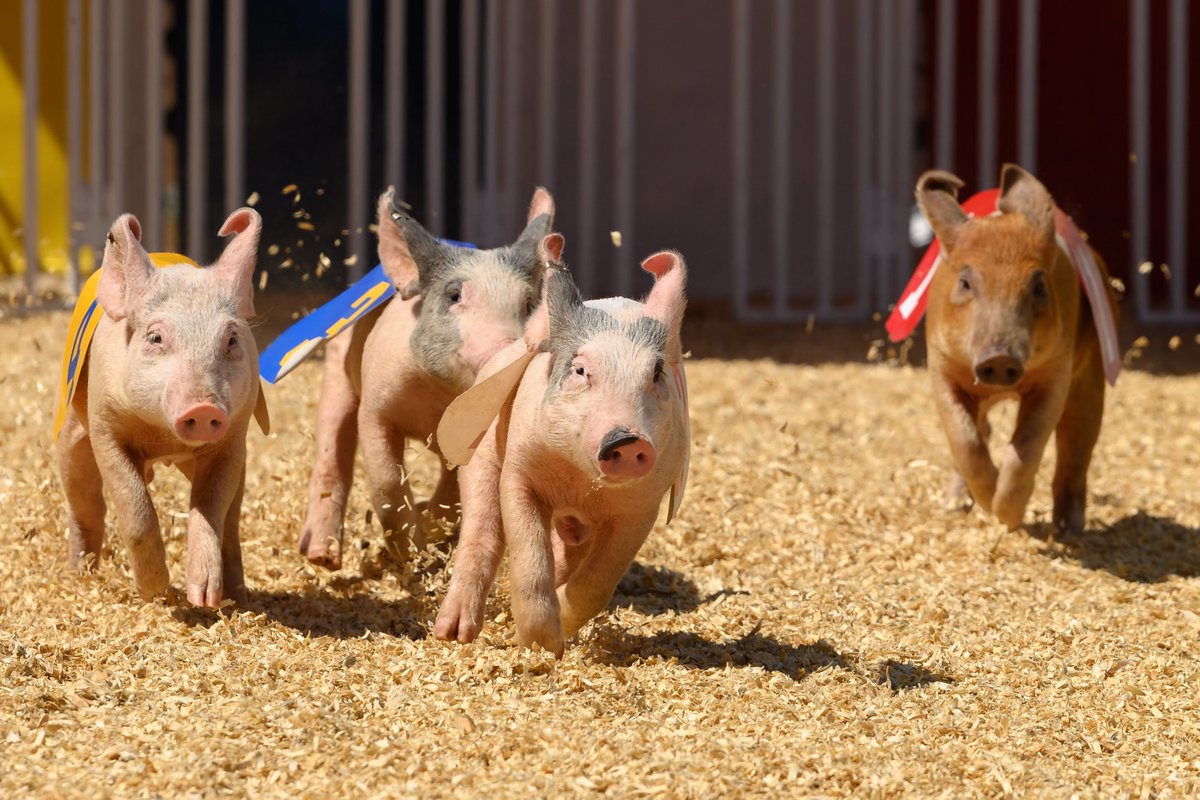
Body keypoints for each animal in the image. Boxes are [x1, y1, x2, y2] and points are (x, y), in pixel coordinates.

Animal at [56, 209, 264, 607]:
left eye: (231, 340)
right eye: (155, 337)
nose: (203, 407)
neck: (162, 438)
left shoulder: (234, 437)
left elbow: (210, 508)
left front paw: (203, 598)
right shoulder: (104, 427)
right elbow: (134, 507)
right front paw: (156, 592)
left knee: (231, 522)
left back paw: (237, 597)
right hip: (73, 437)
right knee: (85, 505)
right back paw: (80, 574)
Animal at [299, 187, 556, 569]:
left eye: (528, 304)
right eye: (454, 295)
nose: (505, 347)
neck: (439, 401)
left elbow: (453, 493)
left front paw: (431, 535)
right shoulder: (376, 406)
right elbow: (386, 480)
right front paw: (413, 555)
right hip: (337, 368)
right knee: (333, 442)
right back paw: (321, 558)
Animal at [434, 249, 690, 656]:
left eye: (656, 373)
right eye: (580, 369)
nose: (627, 439)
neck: (581, 486)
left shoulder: (643, 507)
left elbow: (597, 583)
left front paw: (563, 633)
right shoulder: (519, 473)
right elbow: (530, 558)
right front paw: (542, 646)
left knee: (566, 551)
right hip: (480, 454)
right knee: (481, 531)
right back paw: (453, 634)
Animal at [916, 163, 1118, 536]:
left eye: (1038, 286)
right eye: (964, 282)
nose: (999, 357)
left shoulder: (1058, 371)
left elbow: (1027, 444)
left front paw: (1007, 518)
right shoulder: (940, 364)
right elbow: (964, 440)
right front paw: (986, 506)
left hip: (1092, 374)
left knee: (1076, 448)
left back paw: (1070, 528)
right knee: (982, 432)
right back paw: (952, 507)